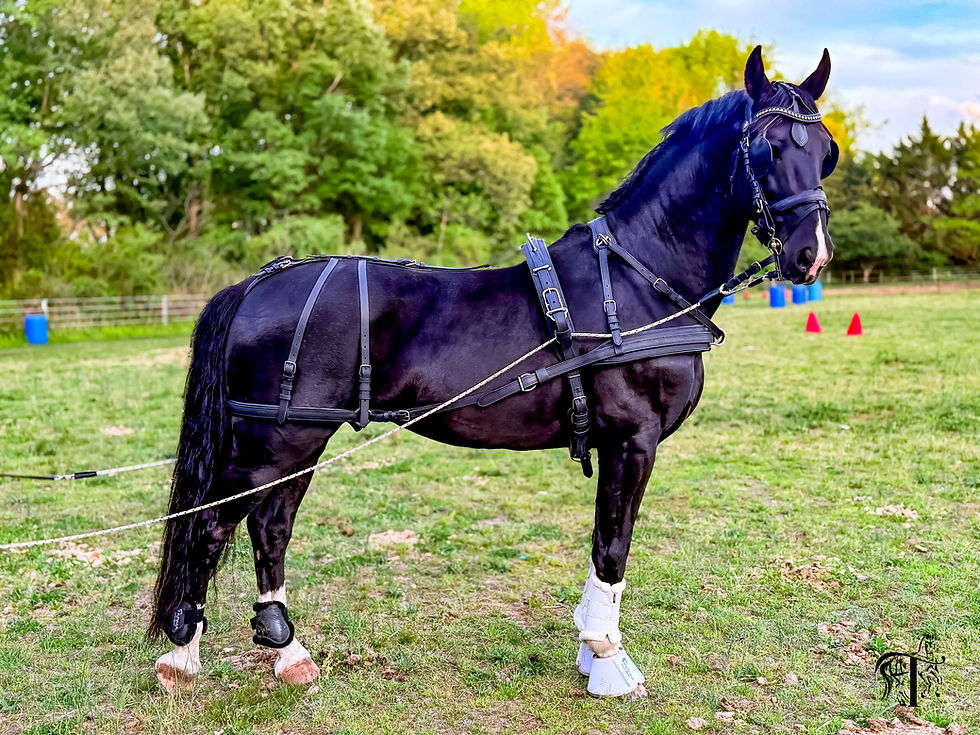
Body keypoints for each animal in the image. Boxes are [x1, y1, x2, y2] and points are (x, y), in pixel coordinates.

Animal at [150, 46, 837, 698]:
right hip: (274, 441)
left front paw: (590, 650)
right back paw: (182, 656)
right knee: (210, 525)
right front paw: (608, 658)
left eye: (826, 153)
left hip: (299, 438)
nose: (812, 255)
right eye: (768, 147)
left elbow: (603, 540)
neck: (637, 279)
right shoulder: (632, 439)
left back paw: (286, 650)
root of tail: (257, 283)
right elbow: (613, 546)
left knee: (270, 526)